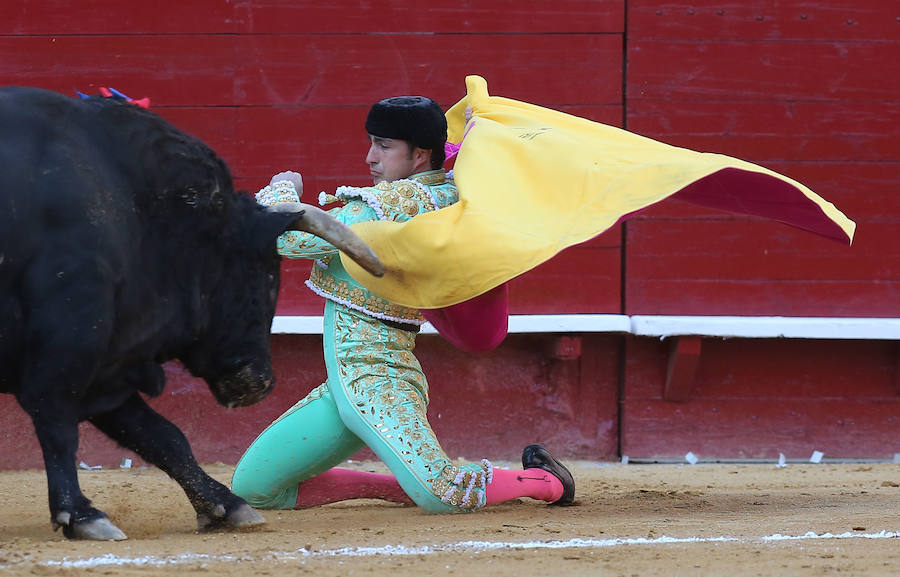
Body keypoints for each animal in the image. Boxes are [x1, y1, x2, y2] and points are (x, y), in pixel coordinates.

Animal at [0, 86, 384, 540]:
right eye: (268, 276)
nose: (260, 383)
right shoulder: (70, 342)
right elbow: (59, 423)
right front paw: (81, 515)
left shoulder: (110, 360)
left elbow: (162, 435)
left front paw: (226, 505)